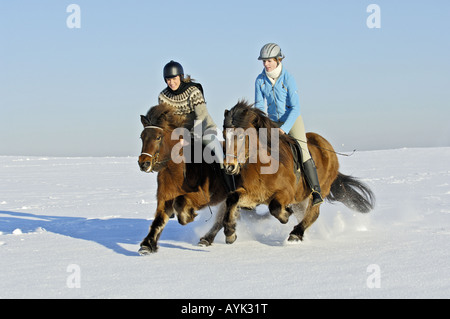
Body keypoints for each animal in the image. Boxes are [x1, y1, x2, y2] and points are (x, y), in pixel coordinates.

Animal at [138, 104, 232, 255]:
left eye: (158, 137)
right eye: (142, 137)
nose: (143, 164)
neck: (176, 170)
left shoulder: (202, 196)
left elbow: (180, 201)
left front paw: (189, 215)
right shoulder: (164, 198)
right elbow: (158, 221)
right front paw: (147, 245)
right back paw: (206, 239)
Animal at [207, 100, 376, 245]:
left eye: (241, 135)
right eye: (224, 135)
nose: (229, 166)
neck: (263, 166)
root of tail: (327, 145)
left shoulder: (286, 193)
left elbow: (274, 206)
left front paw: (286, 214)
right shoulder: (253, 194)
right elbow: (232, 198)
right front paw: (230, 232)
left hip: (320, 190)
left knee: (314, 212)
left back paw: (296, 234)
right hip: (301, 198)